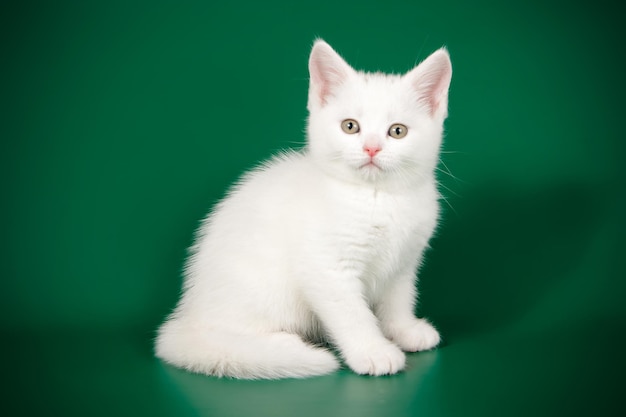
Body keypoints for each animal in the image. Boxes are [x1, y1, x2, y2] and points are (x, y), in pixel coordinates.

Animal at [155, 40, 448, 378]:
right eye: (350, 126)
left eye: (397, 131)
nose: (371, 148)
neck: (377, 197)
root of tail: (187, 319)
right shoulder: (326, 268)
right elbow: (352, 314)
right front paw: (373, 351)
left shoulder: (404, 263)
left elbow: (398, 299)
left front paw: (405, 330)